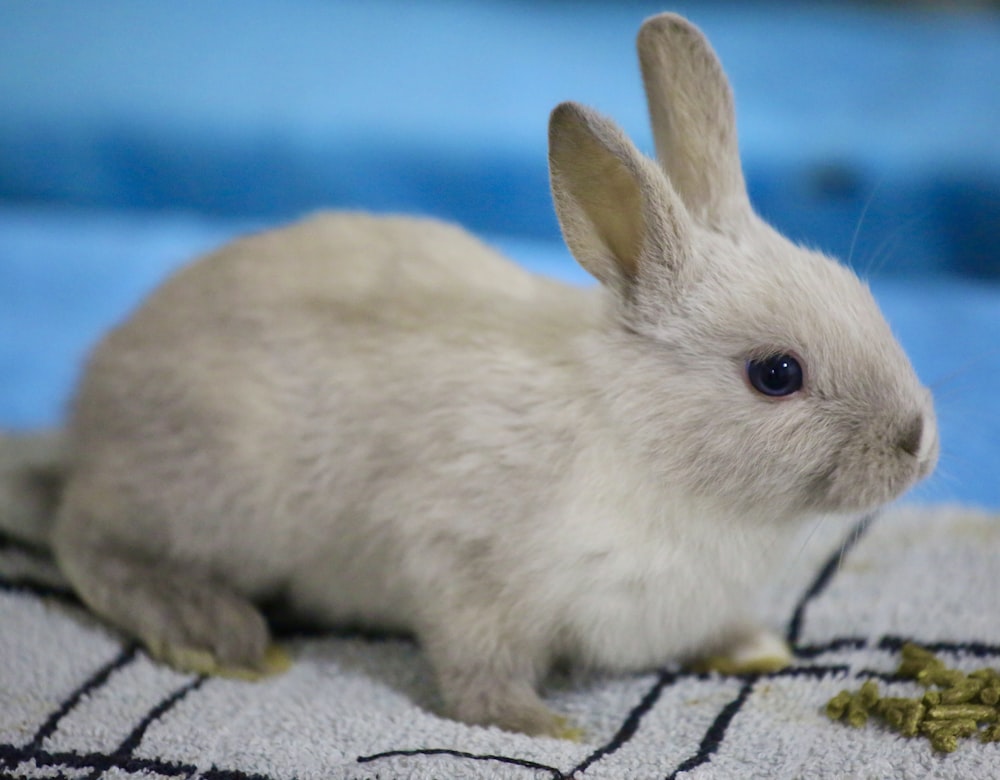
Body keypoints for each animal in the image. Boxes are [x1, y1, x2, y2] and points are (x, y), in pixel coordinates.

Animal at [0, 15, 936, 740]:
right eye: (776, 374)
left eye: (862, 295)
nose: (918, 445)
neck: (641, 435)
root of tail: (89, 414)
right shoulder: (466, 566)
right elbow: (476, 667)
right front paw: (542, 726)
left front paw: (759, 649)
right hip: (213, 491)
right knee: (86, 537)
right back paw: (216, 633)